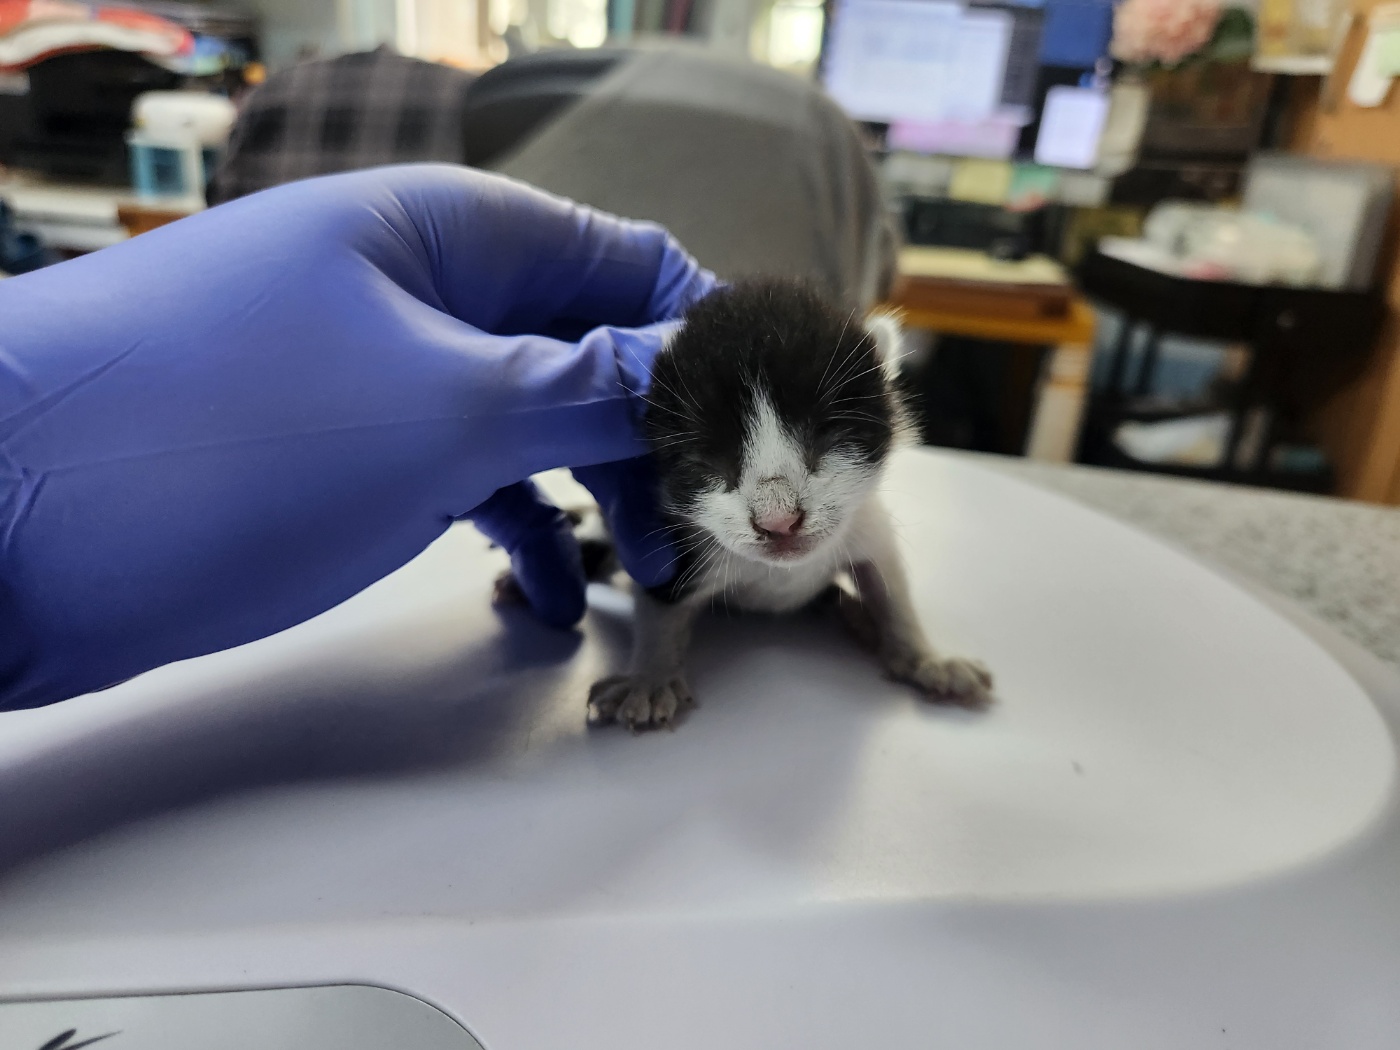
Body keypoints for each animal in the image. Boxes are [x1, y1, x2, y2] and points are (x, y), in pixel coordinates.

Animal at [582, 280, 996, 733]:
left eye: (829, 433)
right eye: (705, 459)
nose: (778, 521)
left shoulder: (867, 524)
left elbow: (892, 590)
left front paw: (927, 658)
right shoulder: (670, 547)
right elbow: (659, 609)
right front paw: (649, 676)